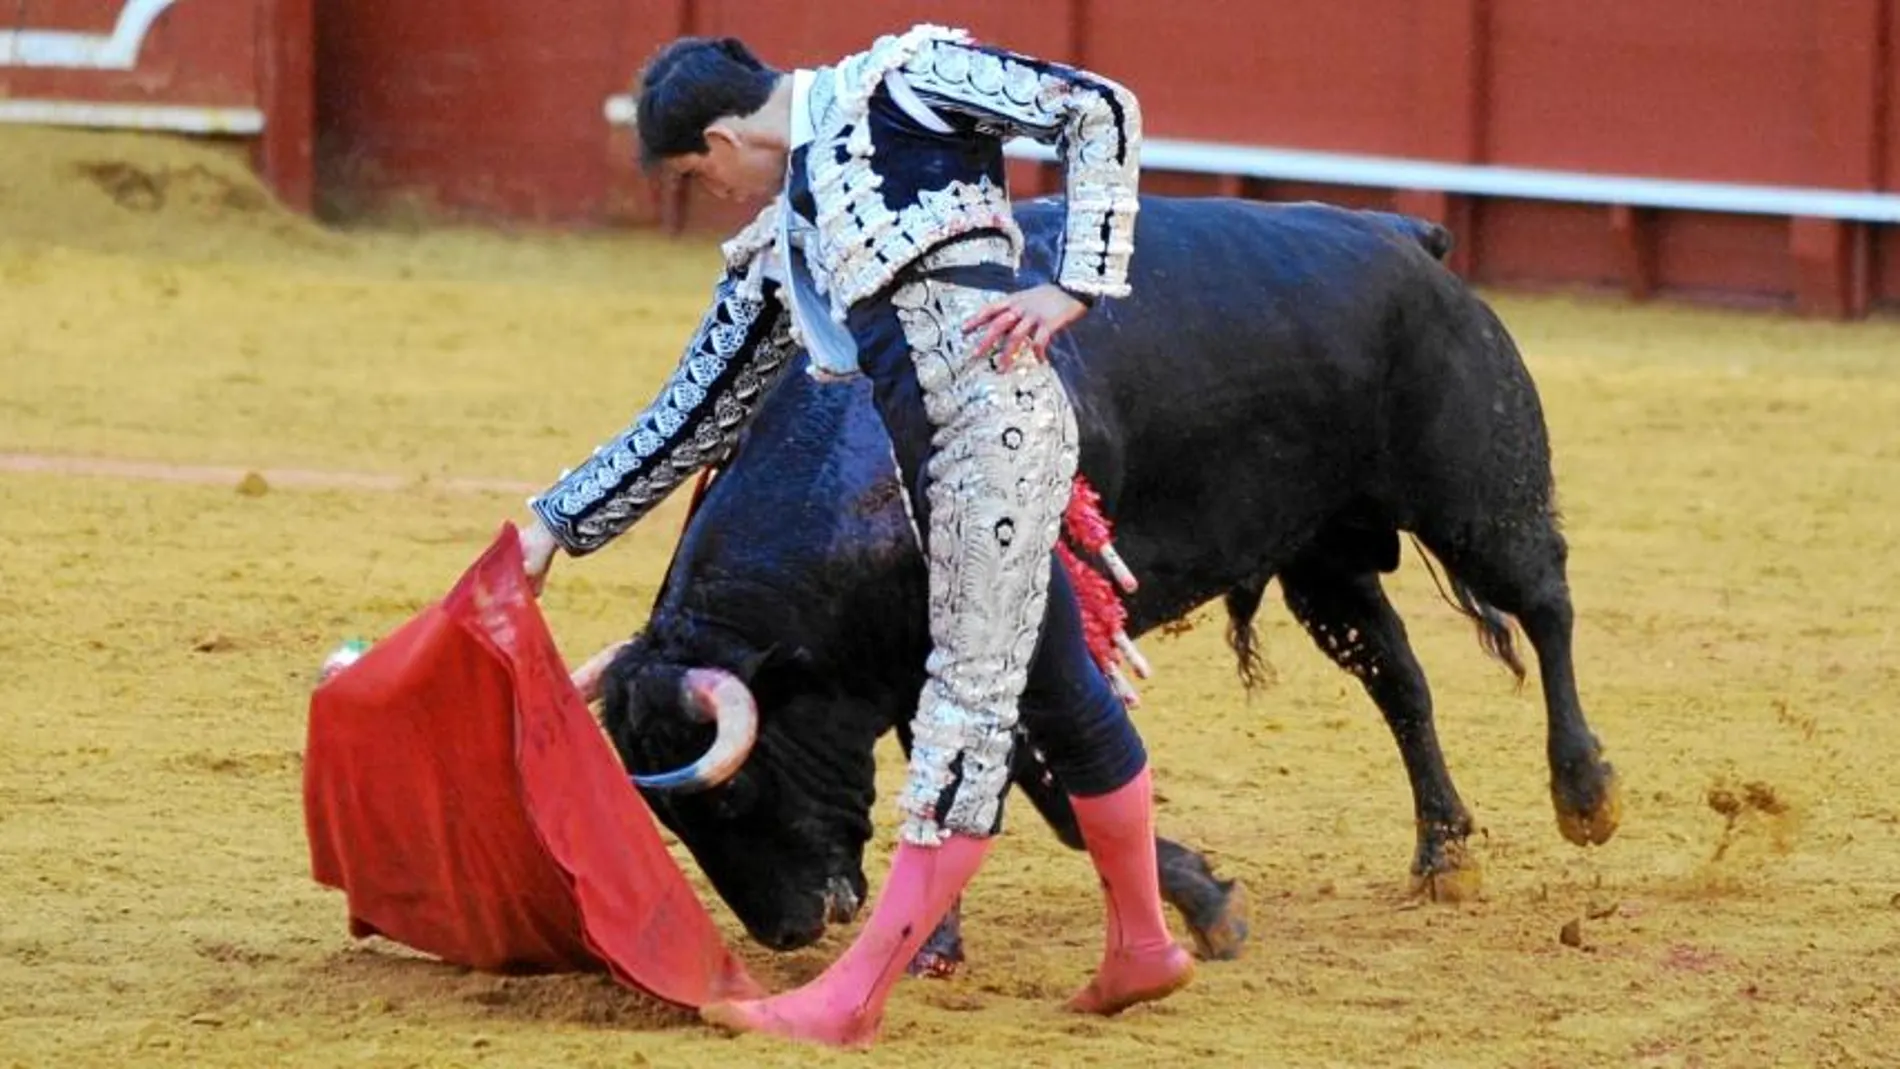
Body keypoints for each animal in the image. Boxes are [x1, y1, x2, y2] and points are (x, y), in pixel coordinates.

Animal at [589, 196, 1618, 964]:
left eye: (731, 794)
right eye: (669, 815)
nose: (787, 930)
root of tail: (1406, 237)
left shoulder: (1031, 647)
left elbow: (1058, 793)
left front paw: (1209, 907)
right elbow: (954, 789)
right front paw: (933, 942)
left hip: (1480, 494)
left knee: (1546, 604)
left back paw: (1585, 792)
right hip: (1323, 555)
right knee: (1398, 677)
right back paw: (1445, 852)